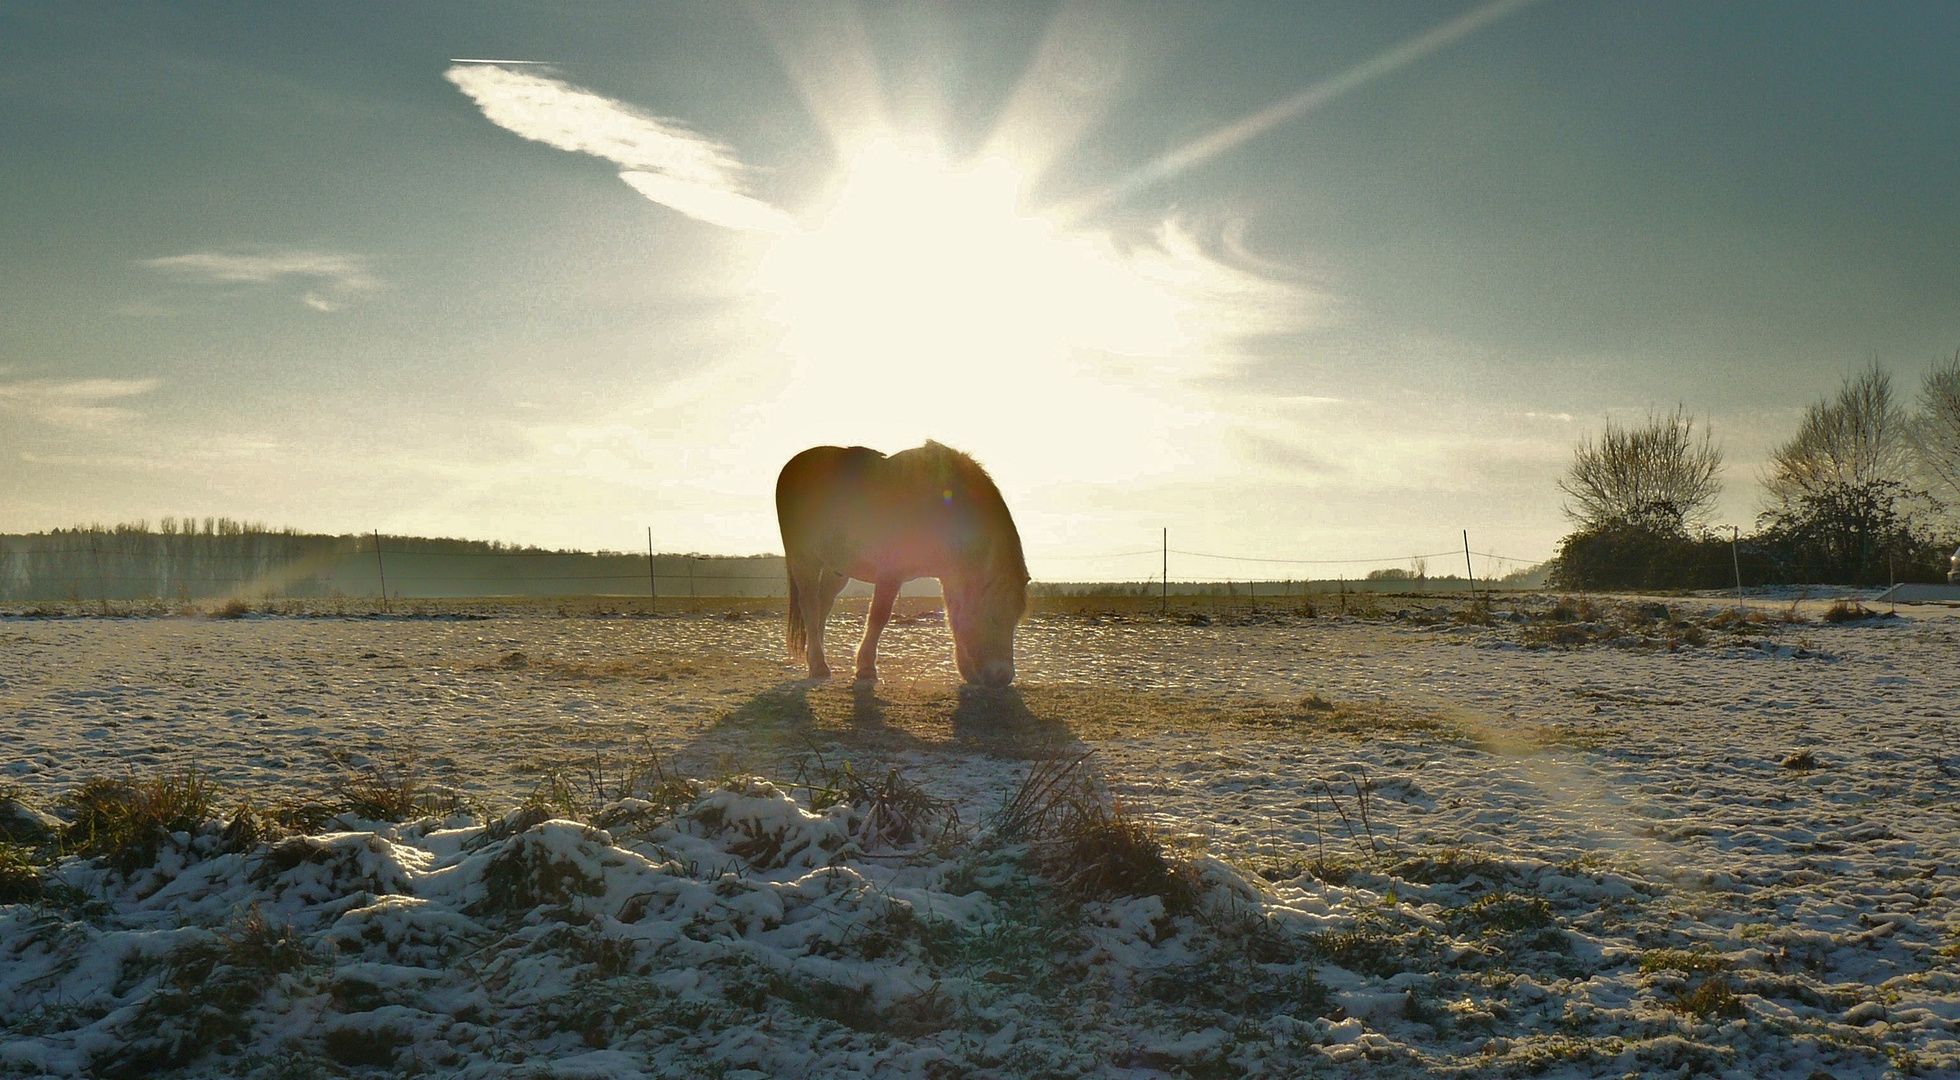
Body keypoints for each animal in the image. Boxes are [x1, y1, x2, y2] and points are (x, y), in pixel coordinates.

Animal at [776, 441, 1034, 689]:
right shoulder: (890, 573)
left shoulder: (951, 577)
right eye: (993, 617)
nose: (1003, 677)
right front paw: (866, 669)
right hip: (805, 560)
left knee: (823, 604)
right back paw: (818, 665)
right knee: (810, 605)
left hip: (836, 569)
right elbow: (879, 616)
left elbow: (953, 615)